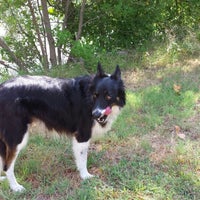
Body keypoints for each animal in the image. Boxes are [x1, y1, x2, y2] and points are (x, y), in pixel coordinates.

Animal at [0, 63, 125, 191]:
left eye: (108, 96)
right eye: (95, 95)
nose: (95, 114)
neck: (88, 97)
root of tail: (2, 87)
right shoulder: (82, 136)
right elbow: (82, 159)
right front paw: (85, 176)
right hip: (17, 137)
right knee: (7, 166)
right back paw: (15, 187)